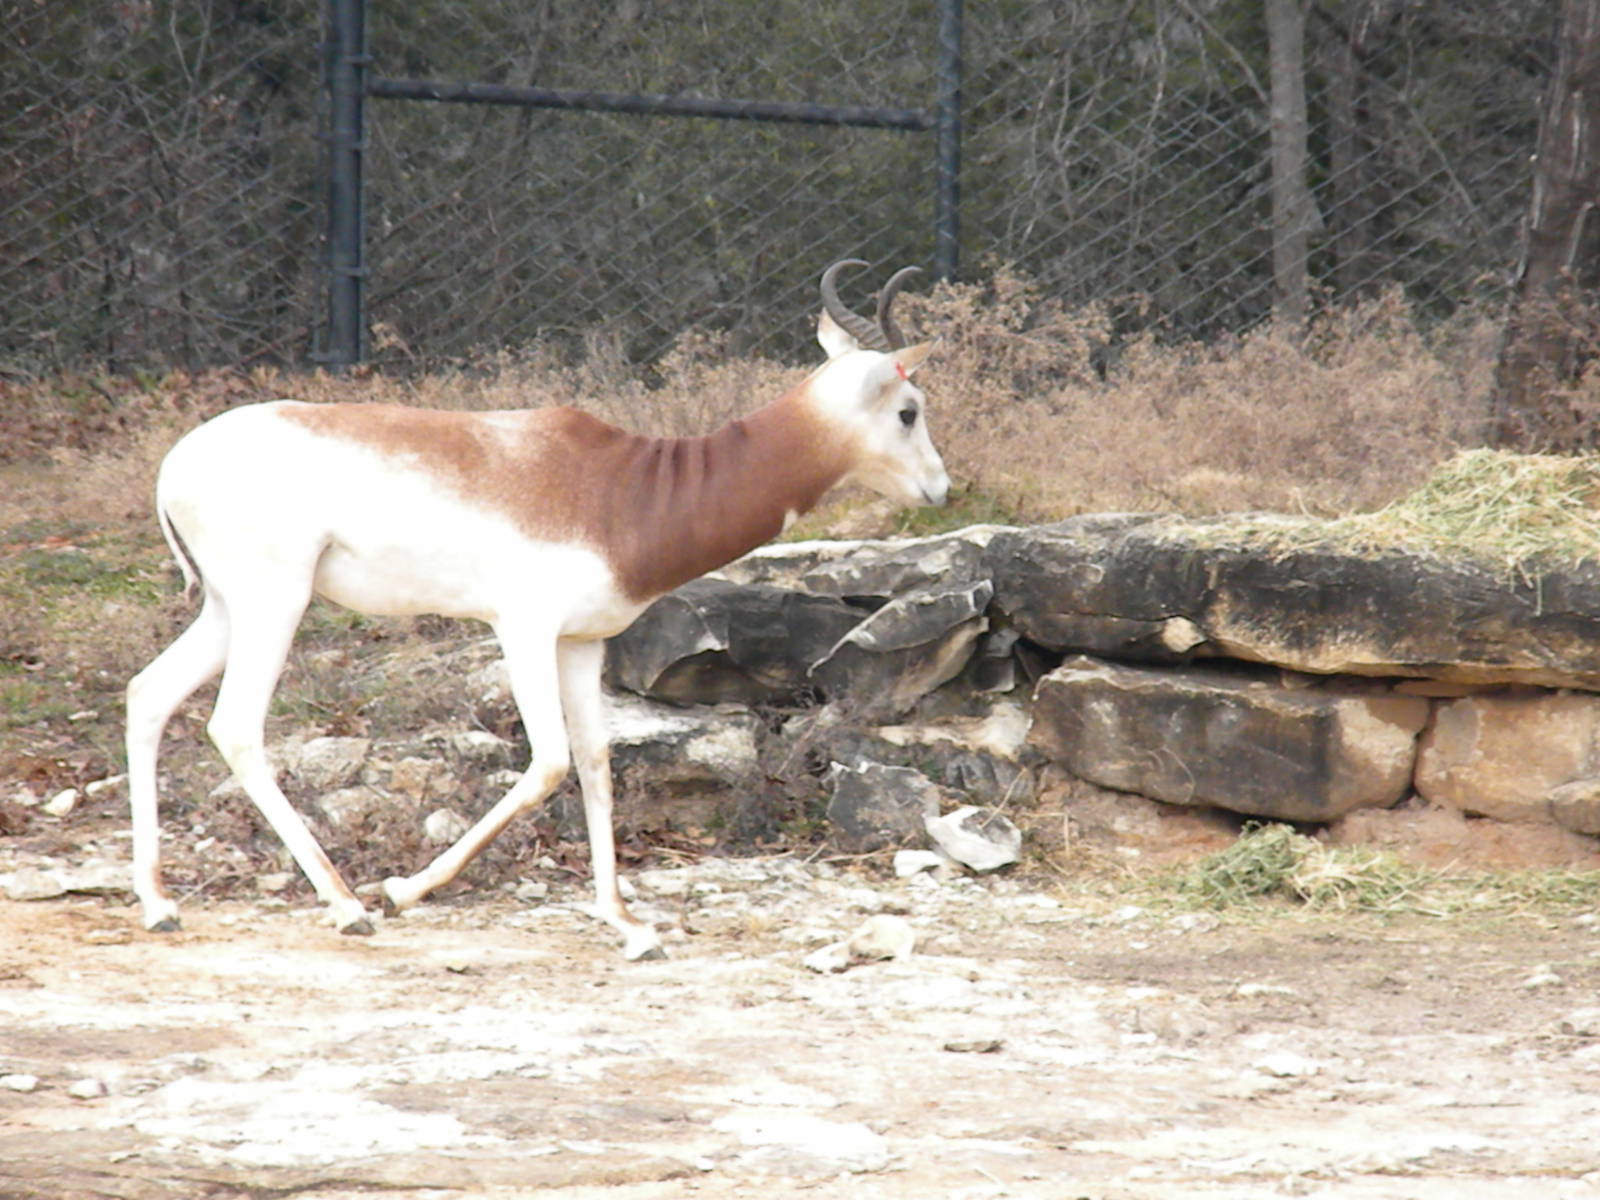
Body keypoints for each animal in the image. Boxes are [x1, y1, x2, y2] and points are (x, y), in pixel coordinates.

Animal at [124, 260, 948, 960]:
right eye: (909, 410)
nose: (941, 489)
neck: (626, 491)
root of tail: (173, 464)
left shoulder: (582, 643)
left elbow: (595, 762)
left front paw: (625, 922)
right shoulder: (522, 630)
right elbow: (549, 763)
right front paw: (402, 890)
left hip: (228, 608)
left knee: (147, 695)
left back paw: (160, 904)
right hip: (275, 602)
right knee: (235, 726)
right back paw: (348, 905)